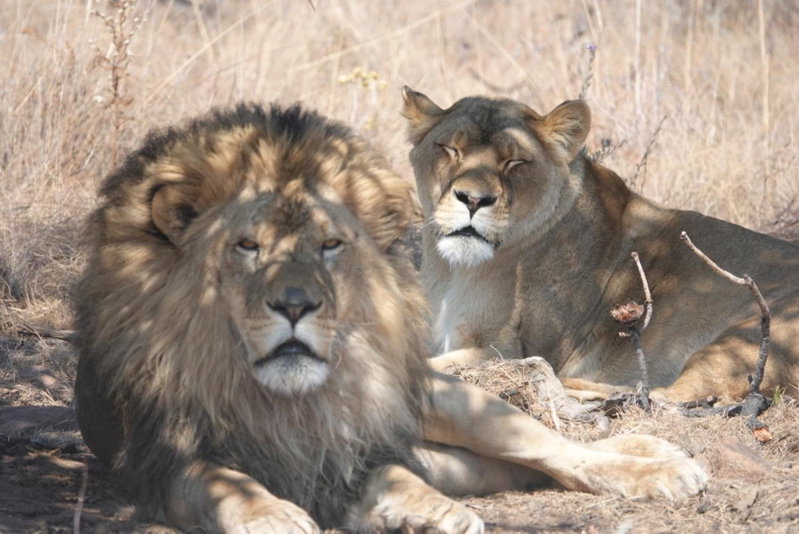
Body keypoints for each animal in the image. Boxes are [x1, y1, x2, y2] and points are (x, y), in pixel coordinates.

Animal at [74, 103, 707, 533]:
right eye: (247, 247)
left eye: (331, 245)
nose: (297, 305)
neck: (281, 396)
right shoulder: (161, 457)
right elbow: (222, 483)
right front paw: (273, 516)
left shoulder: (360, 450)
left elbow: (397, 473)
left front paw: (434, 514)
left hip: (452, 401)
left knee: (556, 449)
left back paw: (663, 469)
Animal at [402, 87, 799, 404]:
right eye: (450, 149)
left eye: (515, 161)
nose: (473, 199)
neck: (455, 271)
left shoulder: (506, 347)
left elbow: (438, 365)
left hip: (748, 336)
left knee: (669, 396)